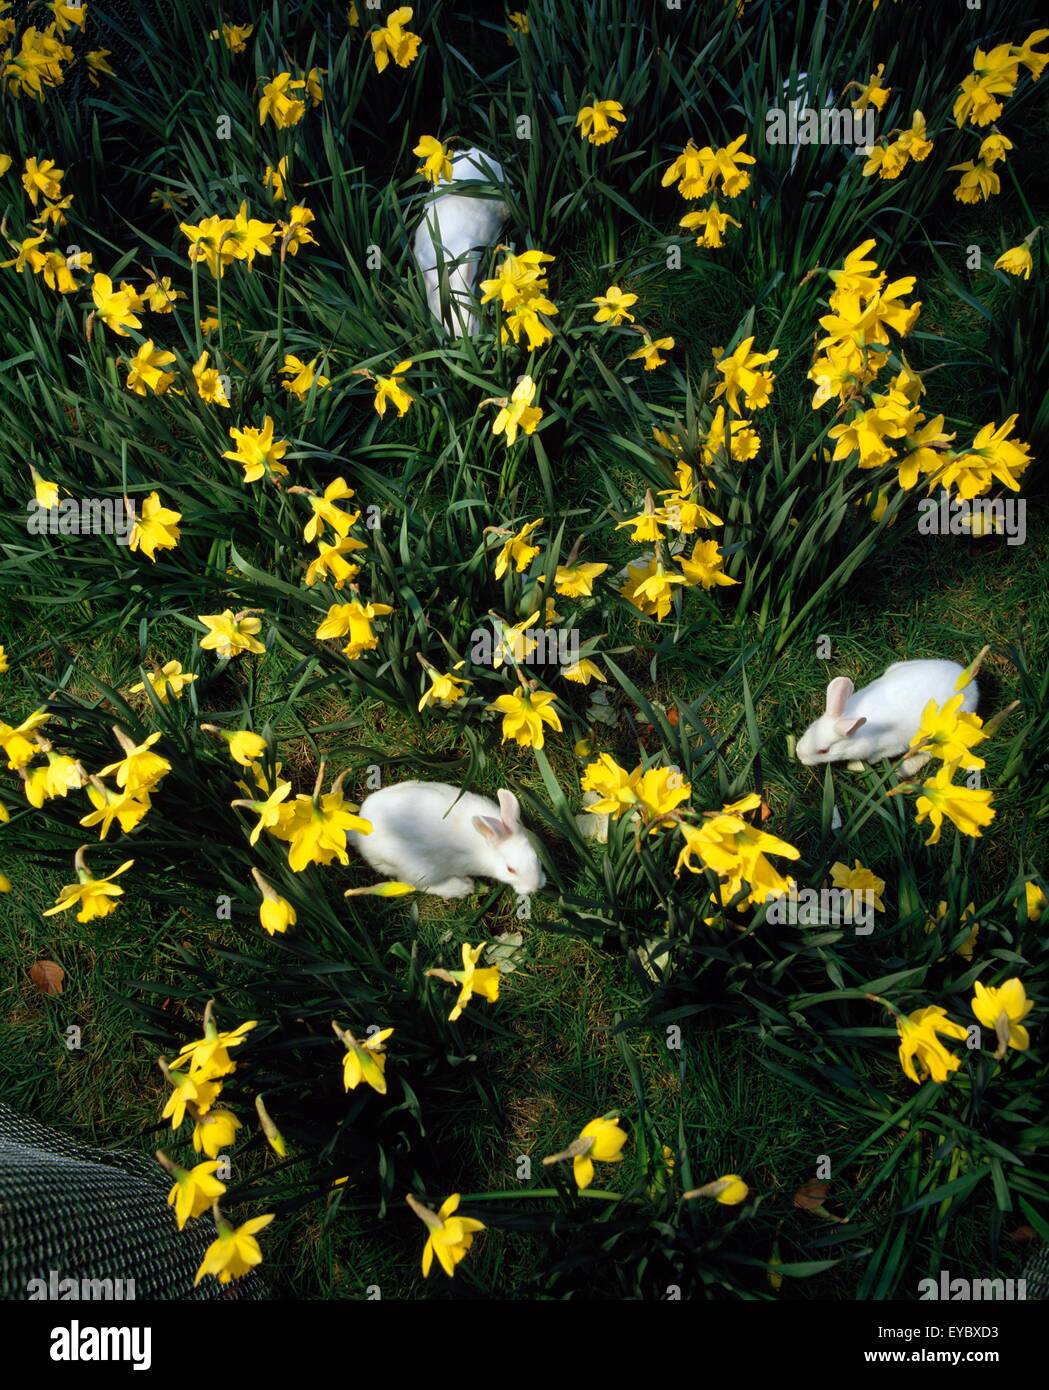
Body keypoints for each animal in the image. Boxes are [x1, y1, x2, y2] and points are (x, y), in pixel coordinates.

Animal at [347, 781, 545, 899]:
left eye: (537, 858)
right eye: (510, 869)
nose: (534, 887)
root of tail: (359, 835)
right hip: (419, 869)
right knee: (415, 884)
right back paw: (463, 887)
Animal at [795, 659, 979, 774]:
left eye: (824, 751)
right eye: (810, 728)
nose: (799, 755)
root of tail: (972, 685)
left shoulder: (888, 748)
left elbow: (872, 759)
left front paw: (855, 766)